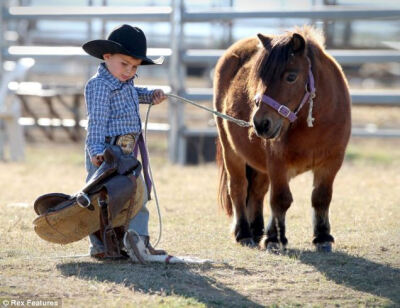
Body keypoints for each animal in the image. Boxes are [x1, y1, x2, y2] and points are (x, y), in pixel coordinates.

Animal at [216, 26, 350, 251]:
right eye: (260, 77)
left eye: (291, 76)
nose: (260, 123)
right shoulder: (277, 163)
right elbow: (280, 199)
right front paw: (275, 238)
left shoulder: (331, 162)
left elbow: (321, 198)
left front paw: (322, 237)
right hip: (231, 151)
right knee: (238, 187)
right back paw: (244, 233)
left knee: (257, 191)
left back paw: (257, 230)